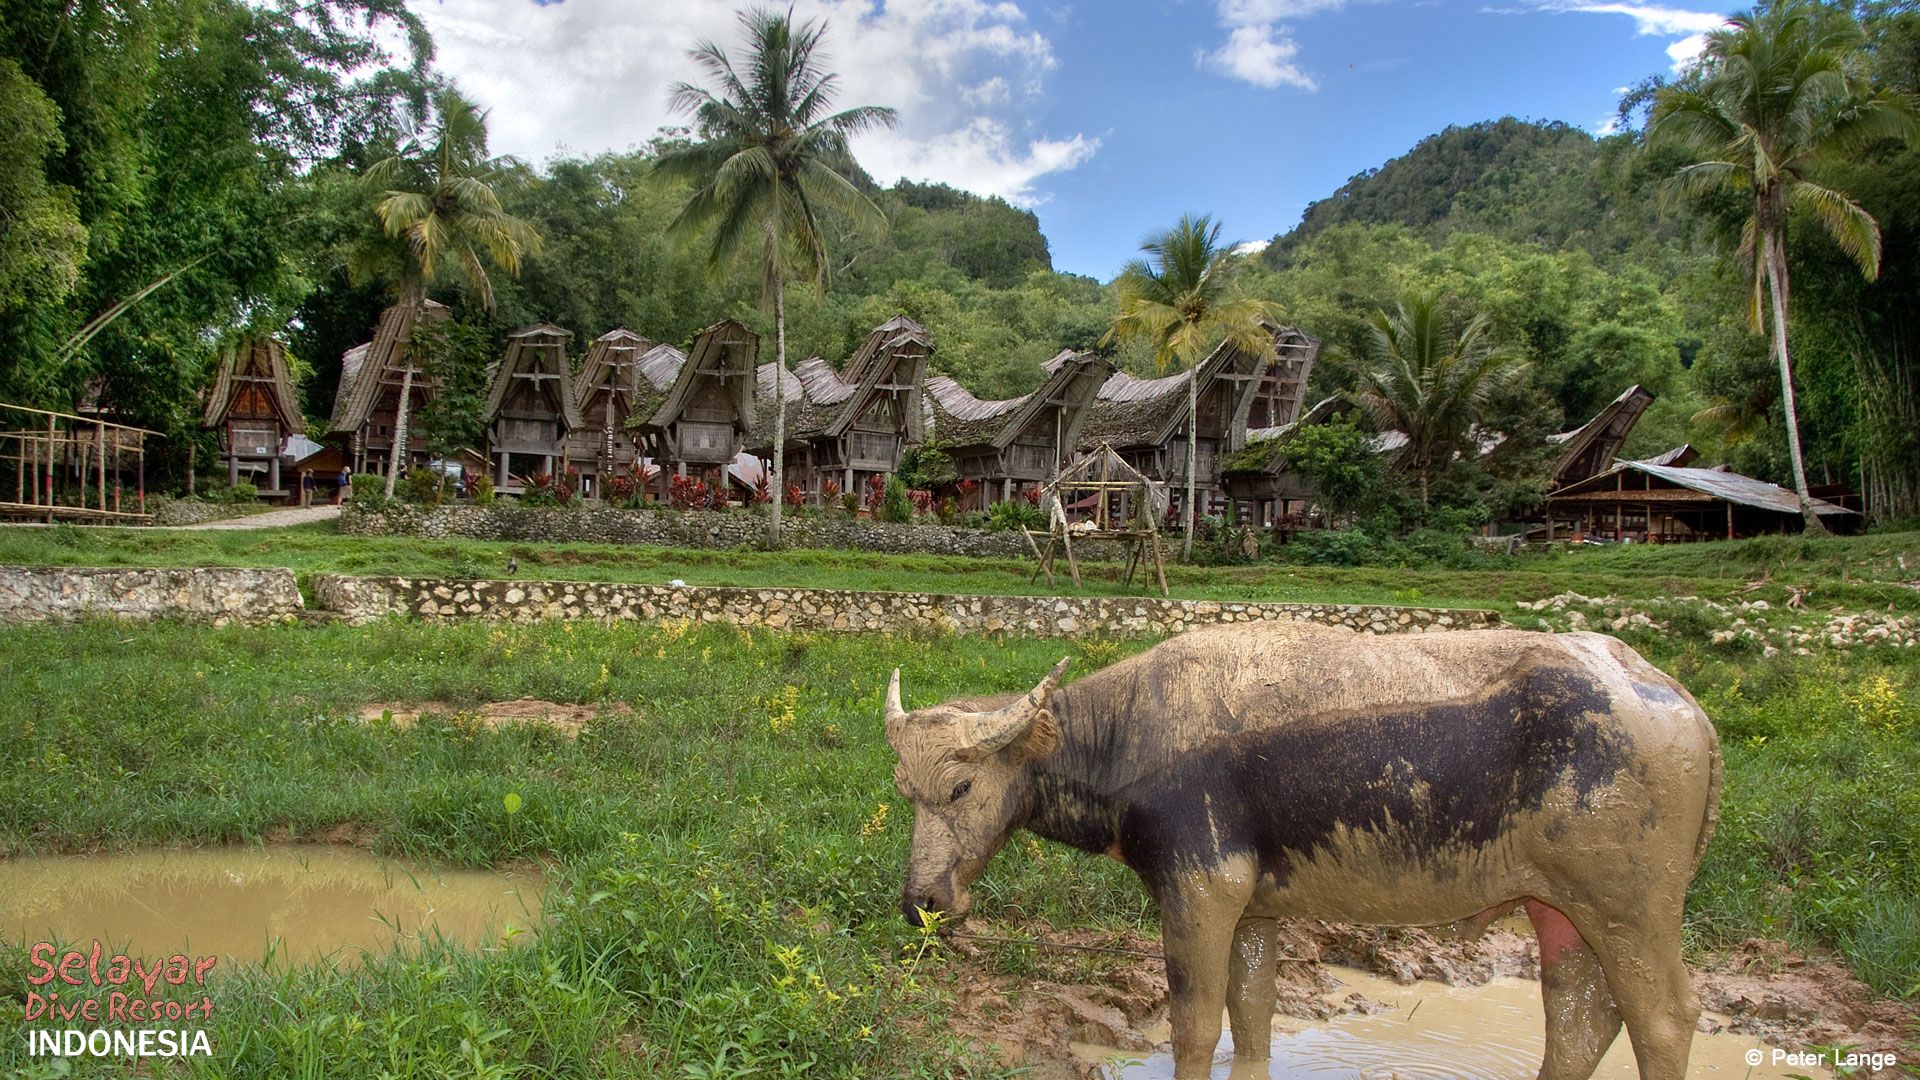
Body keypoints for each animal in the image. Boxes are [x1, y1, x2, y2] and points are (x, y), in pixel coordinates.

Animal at [883, 618, 1728, 1068]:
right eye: (905, 791)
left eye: (960, 789)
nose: (923, 901)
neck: (1129, 736)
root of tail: (1681, 705)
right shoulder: (1254, 911)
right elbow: (1252, 1019)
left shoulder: (1198, 896)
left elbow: (1196, 1029)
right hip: (1569, 914)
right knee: (1582, 1015)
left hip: (1630, 910)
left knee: (1663, 1020)